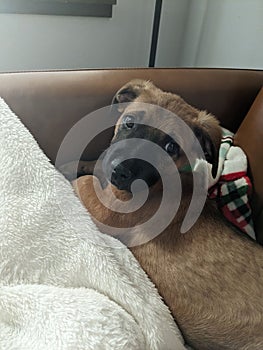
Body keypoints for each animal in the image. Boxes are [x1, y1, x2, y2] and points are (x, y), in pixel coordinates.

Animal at [60, 80, 263, 350]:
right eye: (130, 122)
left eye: (171, 147)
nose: (120, 172)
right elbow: (94, 166)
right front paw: (72, 165)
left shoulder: (106, 208)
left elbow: (84, 183)